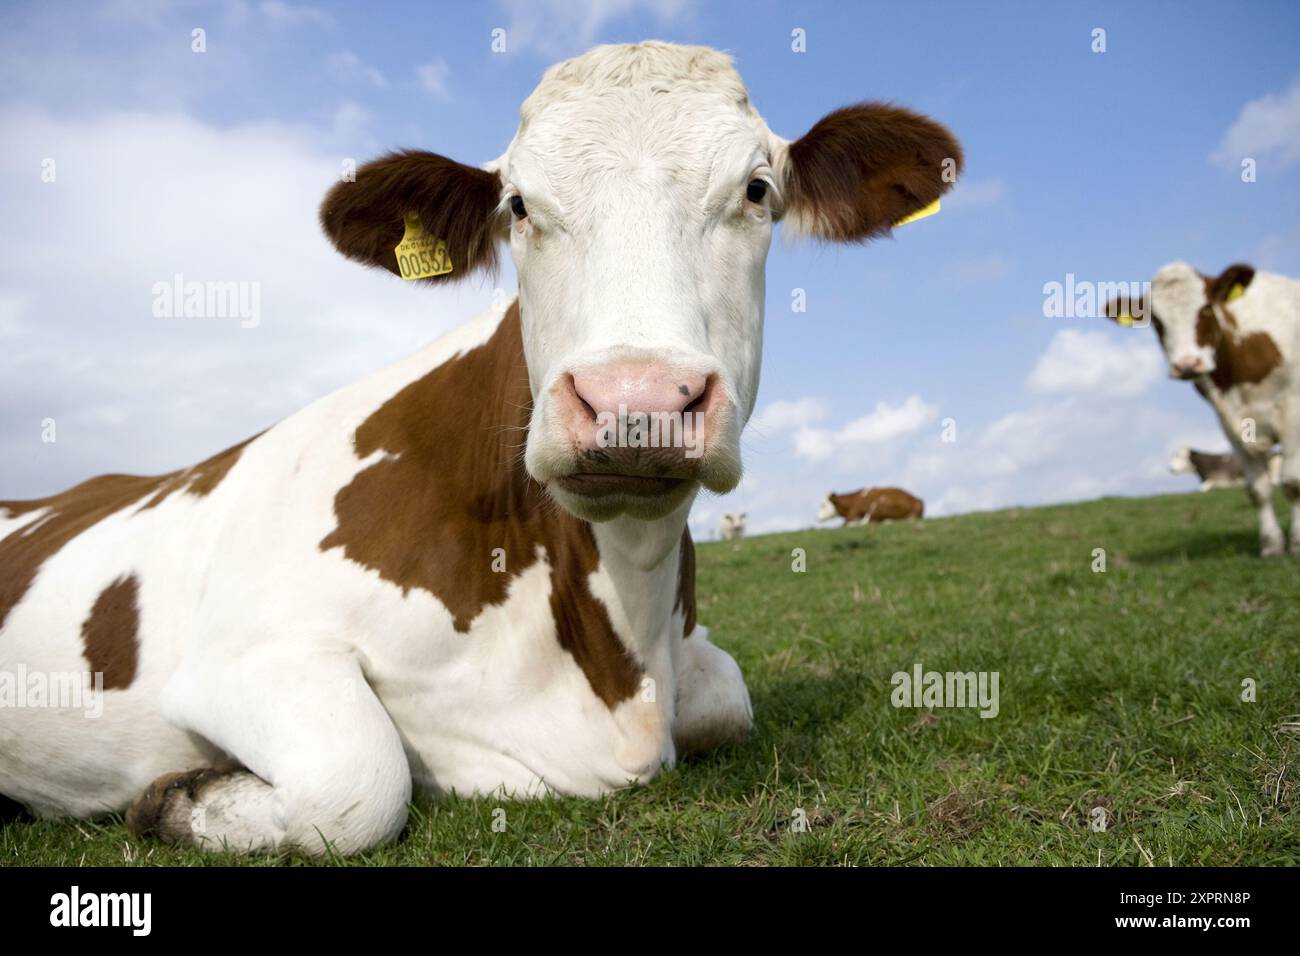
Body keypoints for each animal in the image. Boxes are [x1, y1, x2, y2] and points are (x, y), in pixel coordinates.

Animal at [0, 41, 956, 858]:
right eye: (519, 206)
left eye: (757, 190)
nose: (636, 404)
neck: (616, 662)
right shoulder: (240, 656)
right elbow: (360, 781)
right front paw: (178, 797)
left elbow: (727, 698)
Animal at [1107, 264, 1300, 561]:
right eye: (1157, 321)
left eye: (1207, 309)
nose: (1187, 364)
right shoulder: (1227, 422)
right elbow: (1257, 489)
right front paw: (1271, 547)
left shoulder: (1291, 406)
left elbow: (1292, 482)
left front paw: (1297, 544)